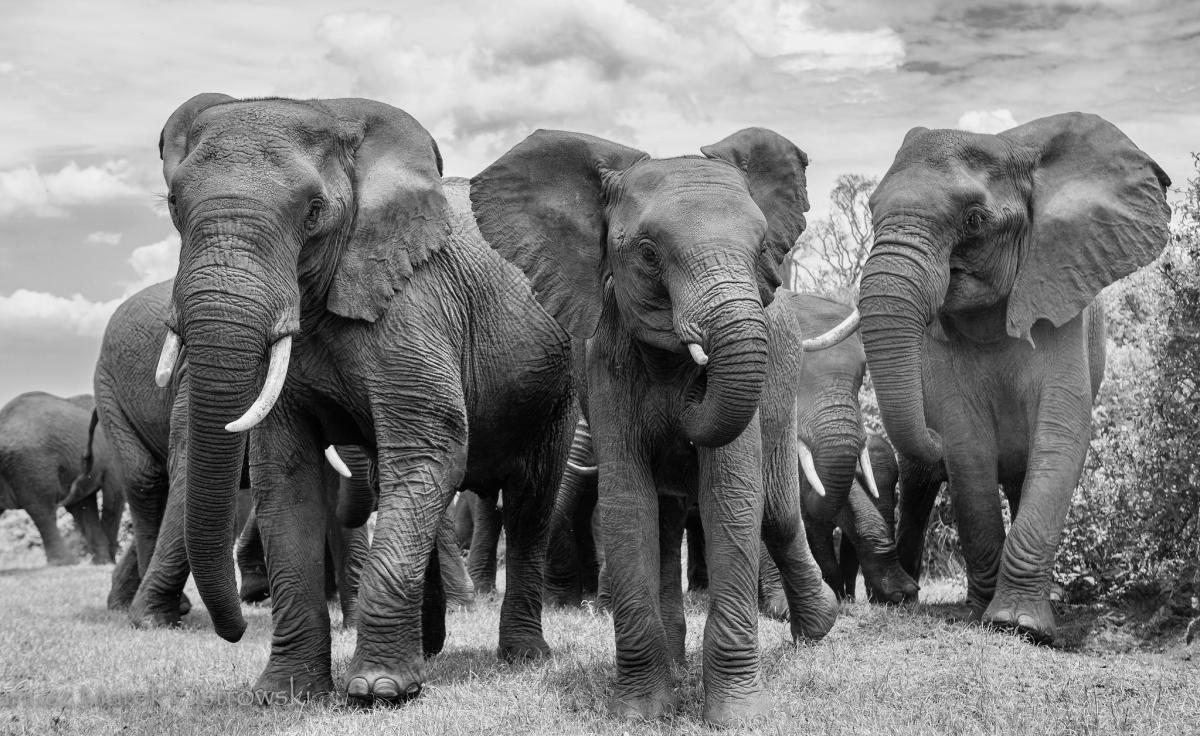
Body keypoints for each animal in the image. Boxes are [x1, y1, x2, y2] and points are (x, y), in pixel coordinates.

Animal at [0, 391, 123, 565]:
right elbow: (112, 498)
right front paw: (107, 562)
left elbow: (88, 505)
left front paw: (104, 562)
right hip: (32, 463)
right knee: (42, 508)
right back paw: (68, 562)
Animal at [156, 94, 575, 704]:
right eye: (172, 204)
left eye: (312, 211)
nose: (230, 631)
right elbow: (286, 475)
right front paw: (285, 693)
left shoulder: (414, 304)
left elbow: (430, 448)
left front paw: (378, 692)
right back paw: (430, 651)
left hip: (558, 383)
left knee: (530, 503)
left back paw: (521, 657)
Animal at [472, 128, 856, 724]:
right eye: (649, 255)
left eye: (760, 250)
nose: (694, 382)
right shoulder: (606, 361)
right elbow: (629, 503)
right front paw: (640, 712)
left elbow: (732, 495)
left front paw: (740, 716)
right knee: (668, 517)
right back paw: (678, 662)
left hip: (783, 378)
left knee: (775, 510)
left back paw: (818, 630)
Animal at [857, 112, 1171, 642]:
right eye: (872, 210)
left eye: (974, 220)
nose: (931, 434)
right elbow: (967, 443)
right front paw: (985, 616)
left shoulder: (1063, 290)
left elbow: (1061, 433)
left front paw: (1020, 626)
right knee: (921, 478)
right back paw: (911, 597)